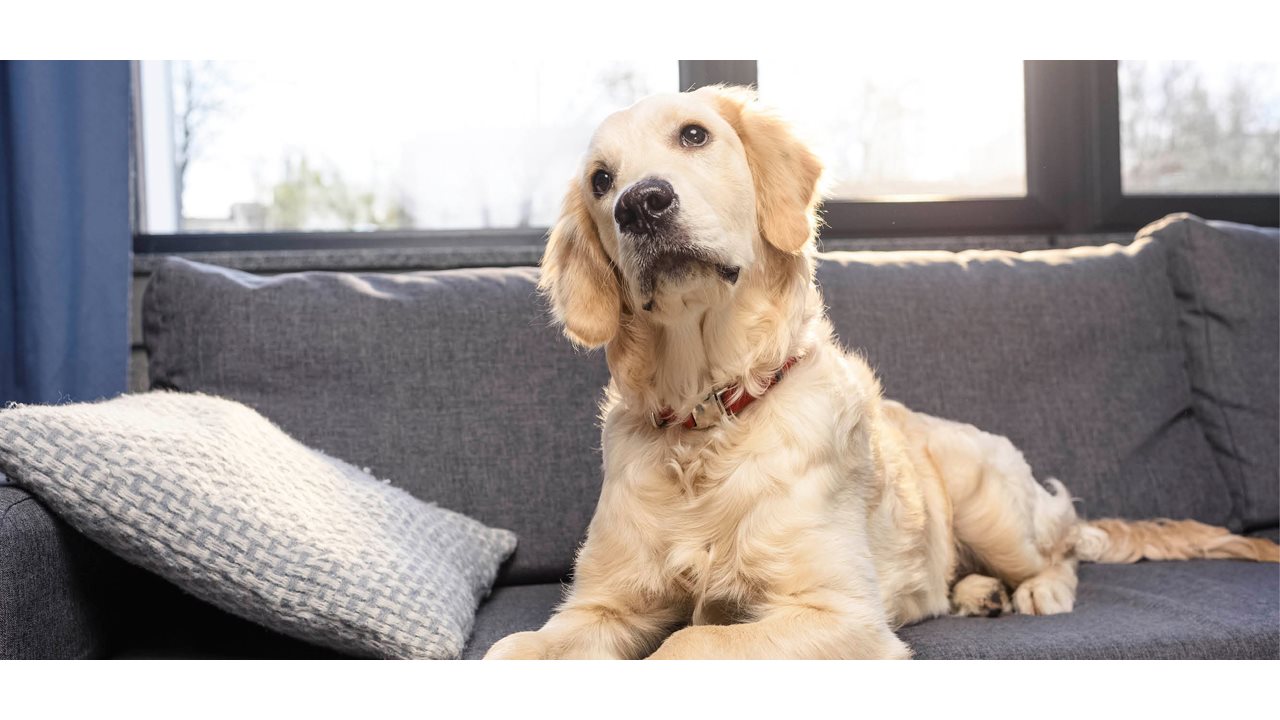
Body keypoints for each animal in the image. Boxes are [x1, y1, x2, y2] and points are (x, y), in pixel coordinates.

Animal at [481, 85, 1280, 655]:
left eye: (695, 135)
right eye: (599, 180)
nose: (640, 204)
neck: (707, 414)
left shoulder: (840, 613)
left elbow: (690, 643)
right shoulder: (599, 604)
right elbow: (512, 650)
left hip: (994, 511)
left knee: (1063, 553)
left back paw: (1035, 591)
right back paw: (976, 593)